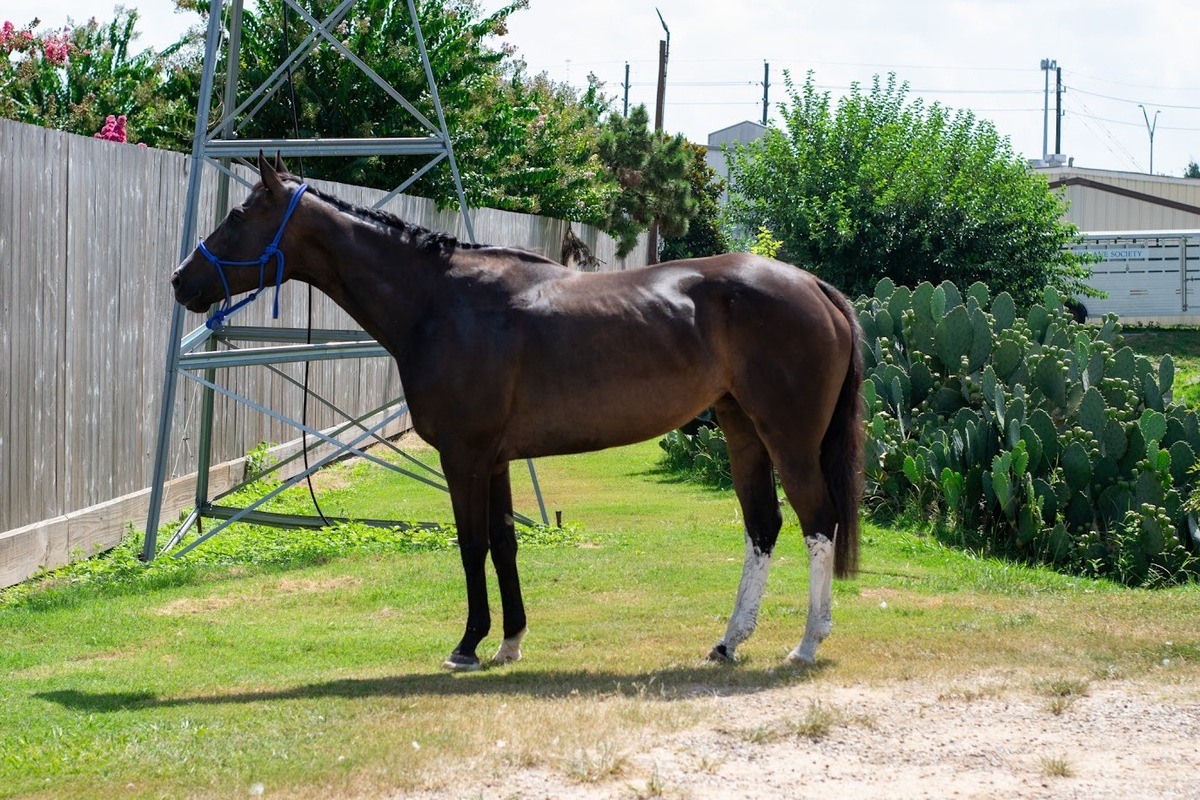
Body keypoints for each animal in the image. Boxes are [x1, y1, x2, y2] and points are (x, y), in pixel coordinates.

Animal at [170, 153, 865, 671]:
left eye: (237, 214)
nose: (181, 280)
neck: (441, 302)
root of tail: (816, 287)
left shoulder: (464, 456)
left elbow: (472, 543)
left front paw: (467, 645)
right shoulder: (497, 458)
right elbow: (505, 542)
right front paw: (509, 640)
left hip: (789, 439)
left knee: (817, 521)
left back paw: (807, 643)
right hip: (741, 430)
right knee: (763, 526)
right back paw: (728, 642)